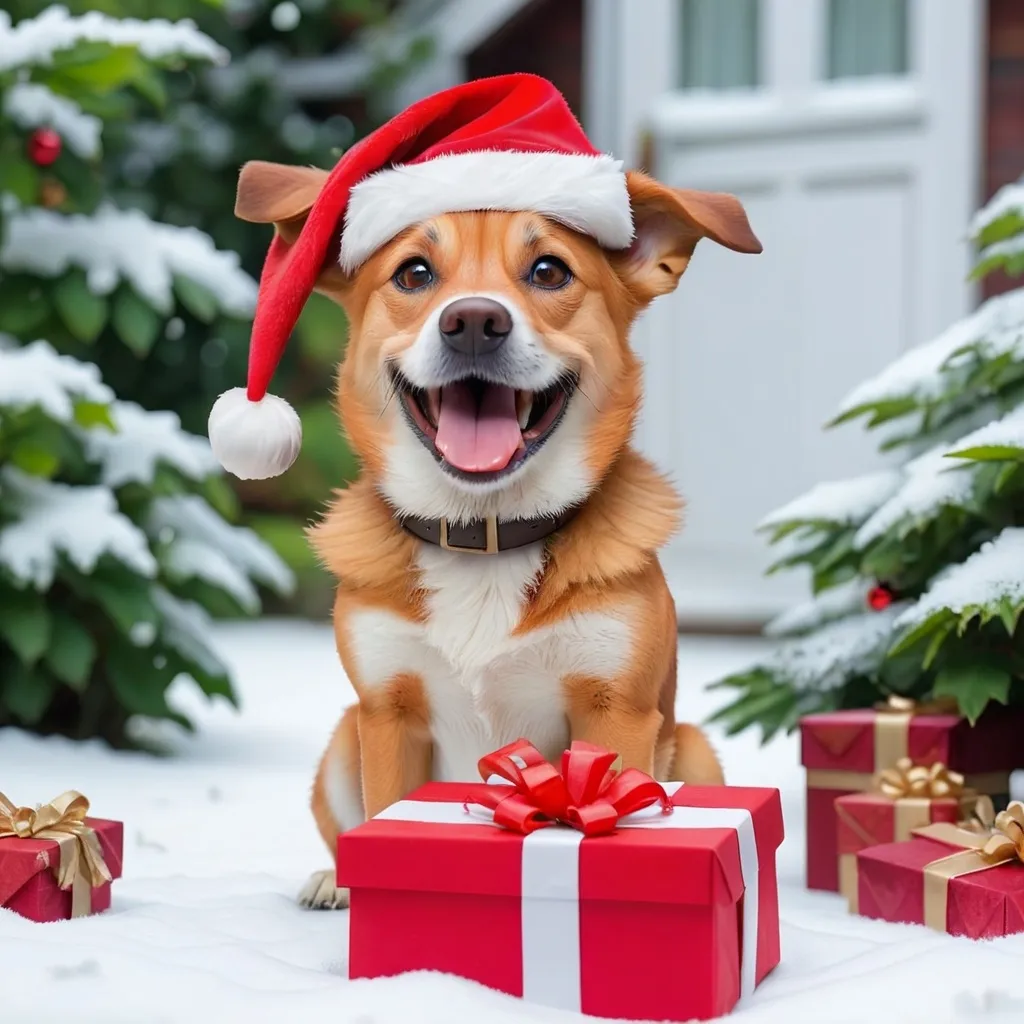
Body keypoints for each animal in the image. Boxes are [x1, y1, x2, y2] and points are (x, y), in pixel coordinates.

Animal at [220, 77, 757, 905]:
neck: (485, 533)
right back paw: (332, 878)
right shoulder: (386, 712)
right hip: (343, 739)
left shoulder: (616, 710)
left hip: (692, 746)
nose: (474, 321)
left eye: (549, 272)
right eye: (413, 273)